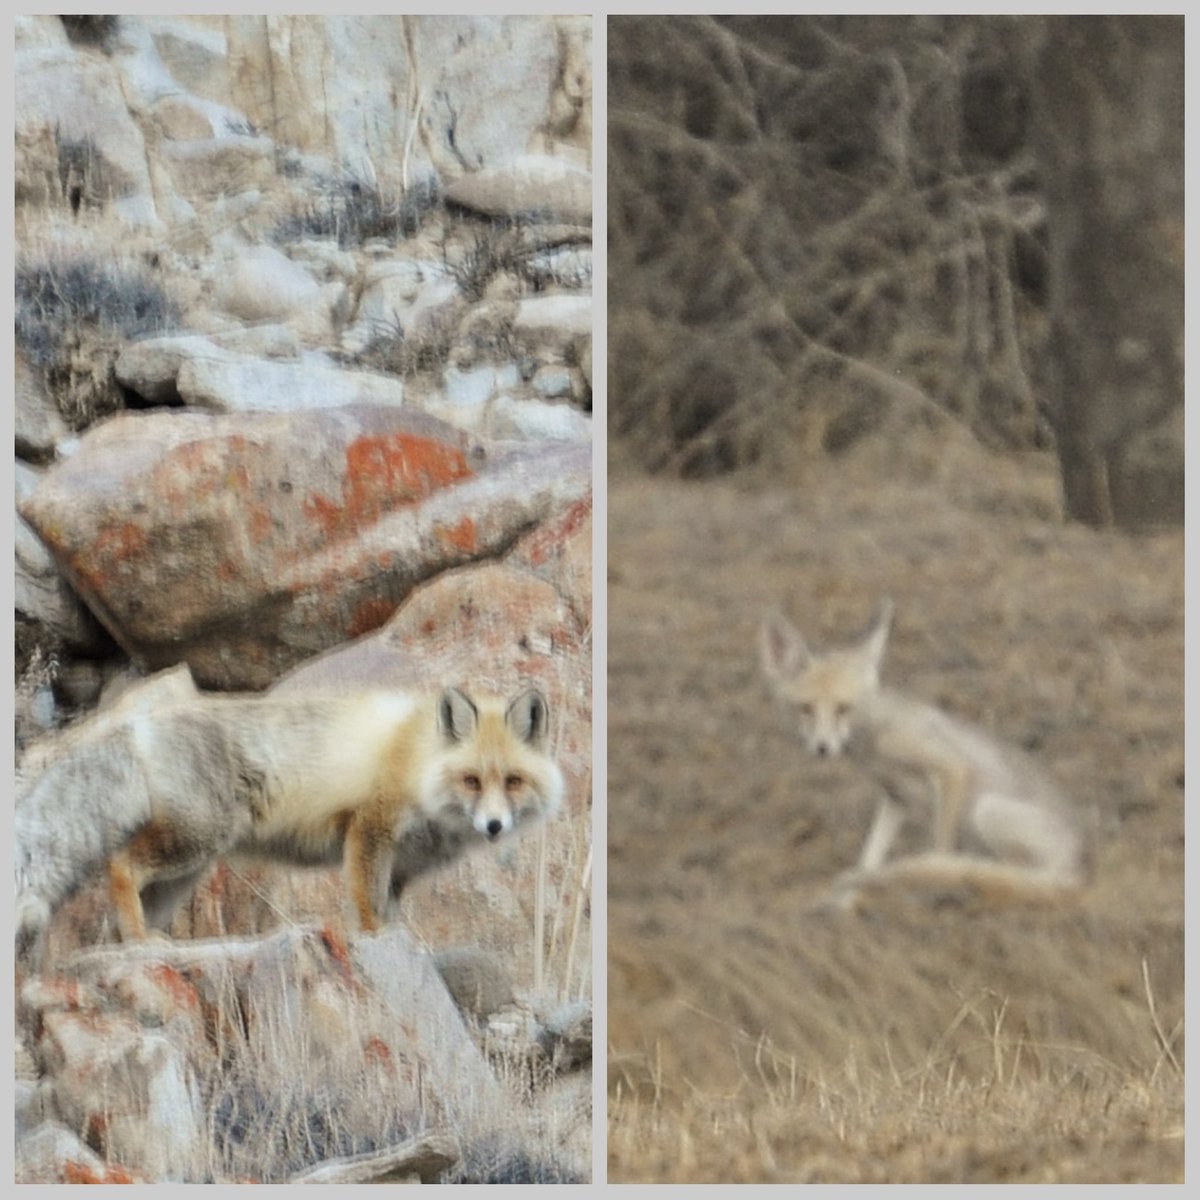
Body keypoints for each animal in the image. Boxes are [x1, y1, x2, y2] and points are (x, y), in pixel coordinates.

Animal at [15, 681, 564, 969]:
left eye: (512, 781)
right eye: (472, 780)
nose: (493, 826)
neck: (419, 762)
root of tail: (137, 725)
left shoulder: (402, 869)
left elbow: (391, 917)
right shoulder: (368, 832)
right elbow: (369, 915)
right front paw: (376, 945)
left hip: (183, 875)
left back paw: (134, 944)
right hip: (194, 841)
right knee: (119, 865)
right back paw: (140, 942)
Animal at [759, 599, 1088, 909]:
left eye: (843, 708)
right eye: (806, 709)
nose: (822, 748)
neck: (875, 739)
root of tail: (1081, 866)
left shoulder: (951, 768)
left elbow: (939, 852)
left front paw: (934, 886)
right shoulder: (895, 799)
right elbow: (869, 858)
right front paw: (843, 904)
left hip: (987, 810)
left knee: (1012, 876)